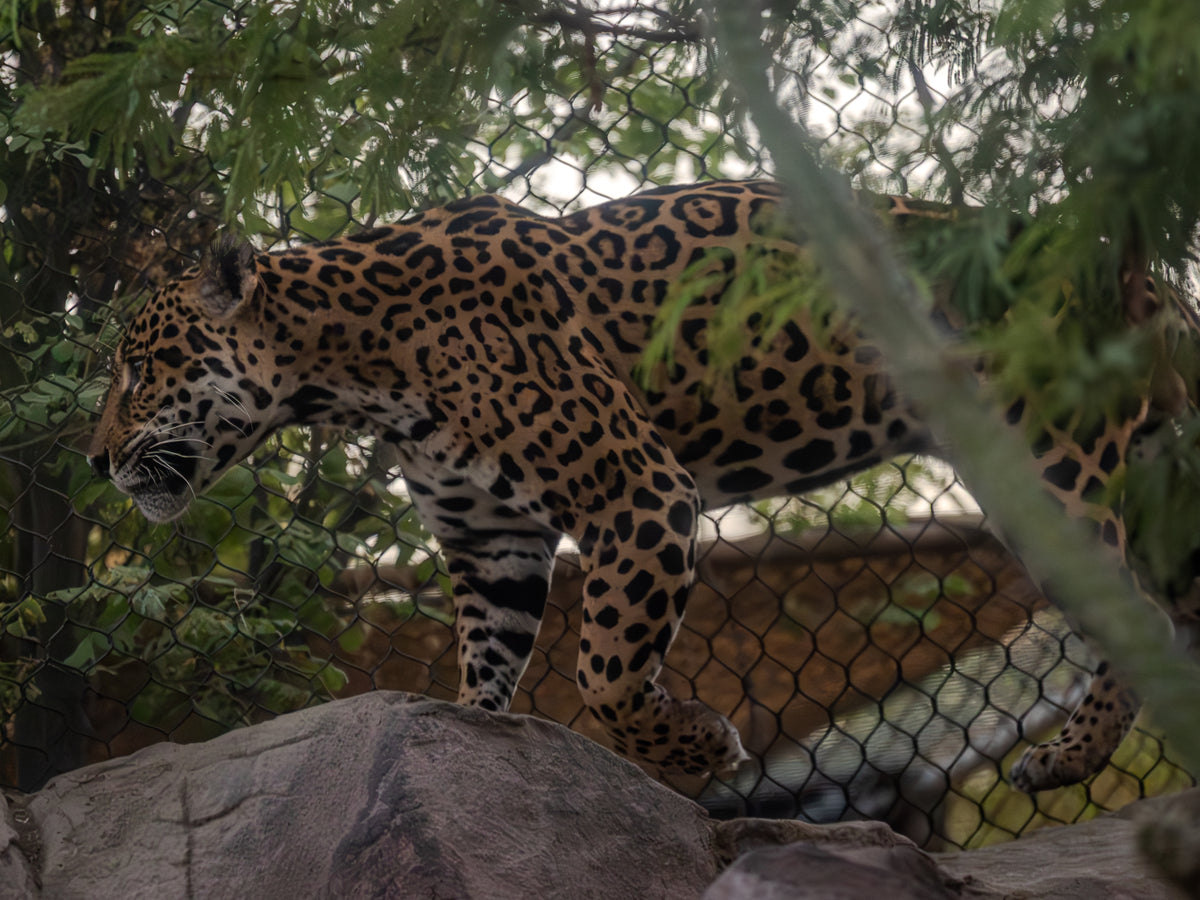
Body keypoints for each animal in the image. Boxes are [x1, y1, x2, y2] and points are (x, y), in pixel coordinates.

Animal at [87, 179, 1191, 792]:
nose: (96, 460)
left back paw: (1070, 759)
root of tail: (1149, 277)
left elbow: (607, 671)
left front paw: (699, 745)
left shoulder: (638, 494)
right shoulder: (490, 542)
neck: (351, 366)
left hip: (1054, 461)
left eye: (138, 371)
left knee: (1140, 615)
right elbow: (488, 663)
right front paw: (464, 751)